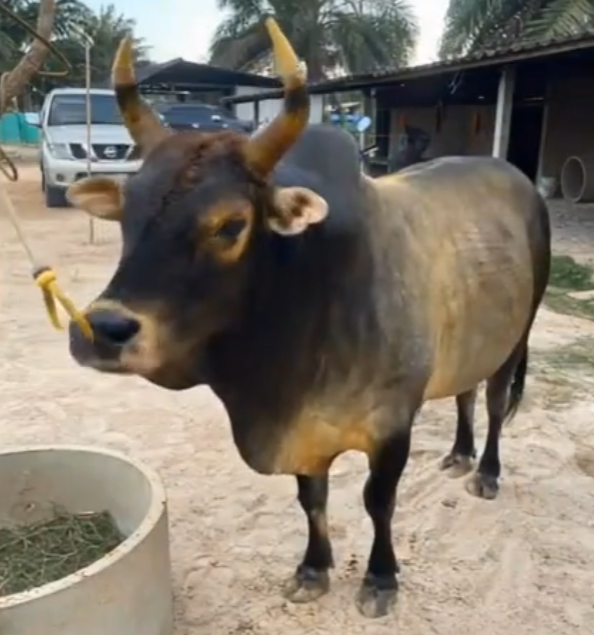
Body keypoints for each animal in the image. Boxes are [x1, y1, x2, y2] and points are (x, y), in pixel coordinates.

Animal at [66, 19, 551, 619]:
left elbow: (378, 502)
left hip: (517, 336)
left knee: (494, 400)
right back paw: (459, 454)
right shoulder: (303, 430)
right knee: (464, 393)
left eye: (230, 224)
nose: (100, 331)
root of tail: (518, 179)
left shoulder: (391, 424)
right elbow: (311, 499)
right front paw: (313, 568)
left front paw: (380, 579)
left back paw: (485, 471)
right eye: (127, 211)